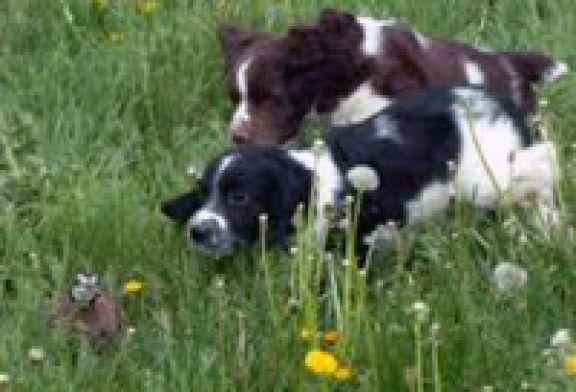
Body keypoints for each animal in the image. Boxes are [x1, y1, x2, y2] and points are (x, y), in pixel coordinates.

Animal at [162, 86, 560, 260]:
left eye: (239, 198)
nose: (197, 231)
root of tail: (498, 101)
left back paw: (548, 227)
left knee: (541, 166)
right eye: (203, 193)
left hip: (485, 177)